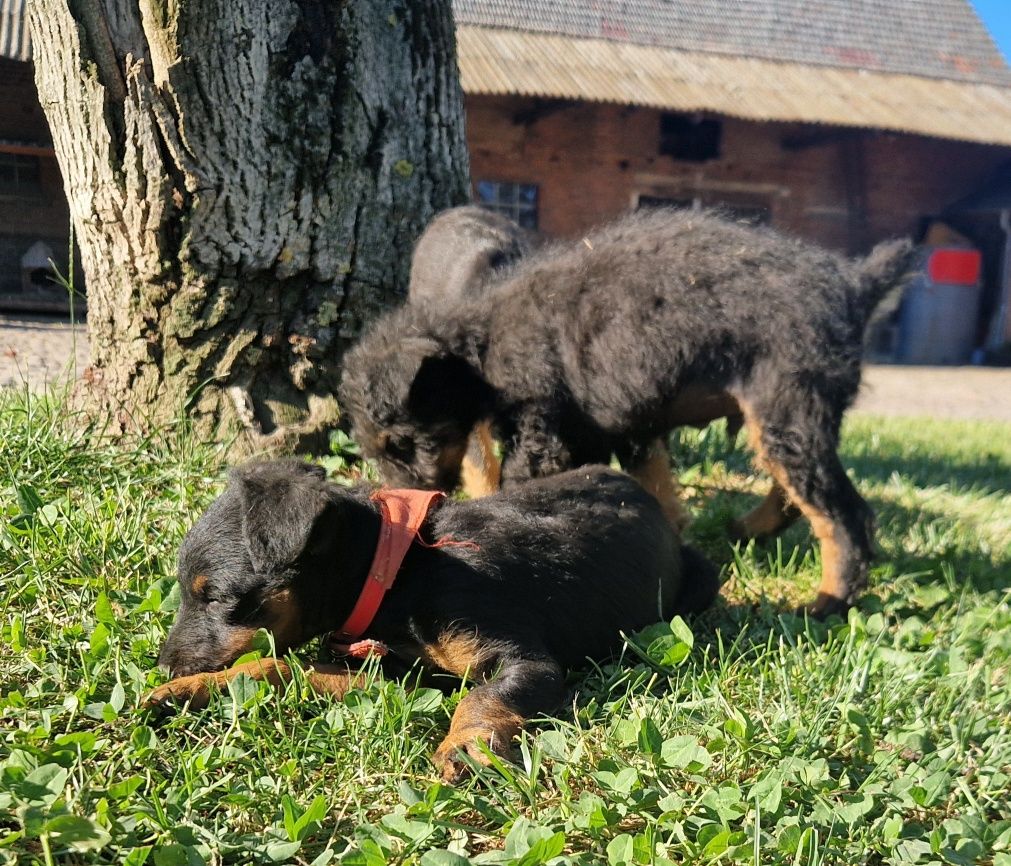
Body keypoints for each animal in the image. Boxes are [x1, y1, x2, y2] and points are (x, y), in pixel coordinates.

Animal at [147, 462, 719, 780]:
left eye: (215, 596)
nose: (166, 666)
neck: (398, 574)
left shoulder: (524, 660)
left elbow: (482, 696)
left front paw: (465, 746)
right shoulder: (385, 669)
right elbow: (278, 667)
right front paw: (190, 691)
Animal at [339, 208, 917, 614]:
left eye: (400, 442)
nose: (405, 503)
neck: (477, 338)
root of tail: (854, 283)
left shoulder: (542, 432)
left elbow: (523, 486)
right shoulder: (614, 428)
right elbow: (656, 486)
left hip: (787, 403)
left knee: (845, 516)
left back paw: (828, 601)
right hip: (785, 414)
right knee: (800, 494)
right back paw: (750, 529)